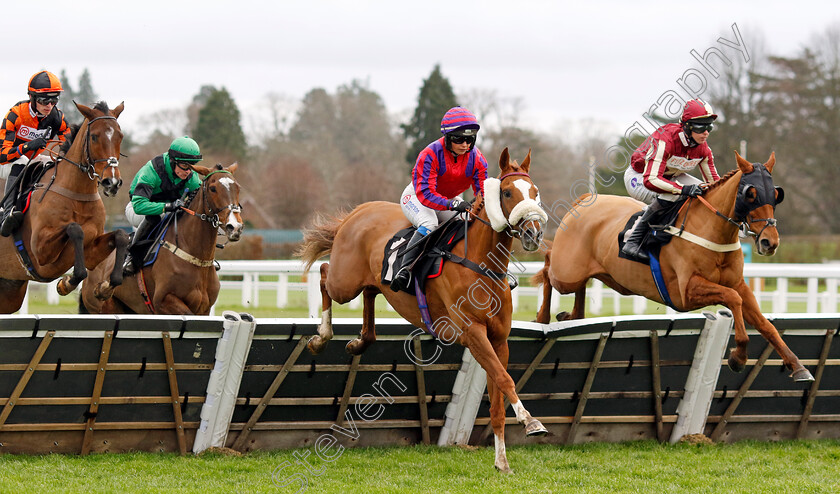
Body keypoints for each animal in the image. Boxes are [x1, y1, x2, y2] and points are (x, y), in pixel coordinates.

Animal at [0, 101, 128, 312]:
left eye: (120, 135)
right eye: (94, 136)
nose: (112, 182)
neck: (77, 195)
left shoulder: (92, 253)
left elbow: (121, 235)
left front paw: (105, 287)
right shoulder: (41, 253)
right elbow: (76, 229)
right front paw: (65, 283)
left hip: (10, 292)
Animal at [80, 164, 243, 314]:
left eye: (238, 188)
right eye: (213, 189)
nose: (234, 227)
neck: (196, 258)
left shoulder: (204, 309)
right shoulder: (163, 301)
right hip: (105, 308)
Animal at [540, 152, 812, 384]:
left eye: (776, 194)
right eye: (751, 194)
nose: (769, 242)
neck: (711, 229)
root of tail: (584, 200)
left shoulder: (737, 283)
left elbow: (765, 324)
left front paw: (797, 366)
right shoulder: (685, 292)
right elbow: (733, 300)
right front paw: (738, 356)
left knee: (578, 285)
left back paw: (572, 316)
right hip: (566, 273)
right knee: (548, 266)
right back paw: (543, 316)